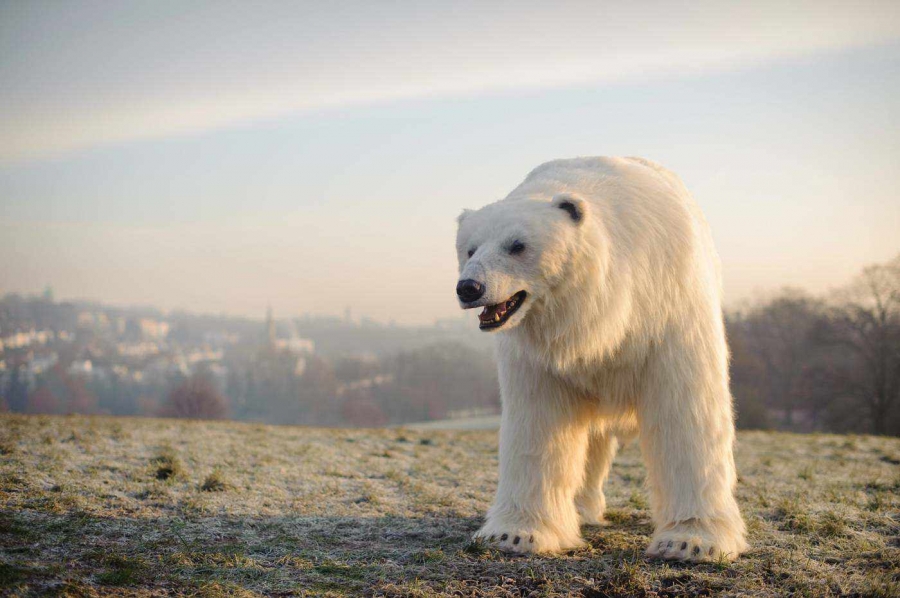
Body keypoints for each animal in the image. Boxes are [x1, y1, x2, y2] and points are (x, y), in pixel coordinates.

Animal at [458, 156, 744, 564]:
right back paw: (580, 509)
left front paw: (691, 541)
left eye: (518, 245)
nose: (469, 287)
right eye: (470, 249)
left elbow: (686, 412)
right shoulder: (542, 357)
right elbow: (538, 423)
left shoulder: (668, 308)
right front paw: (514, 534)